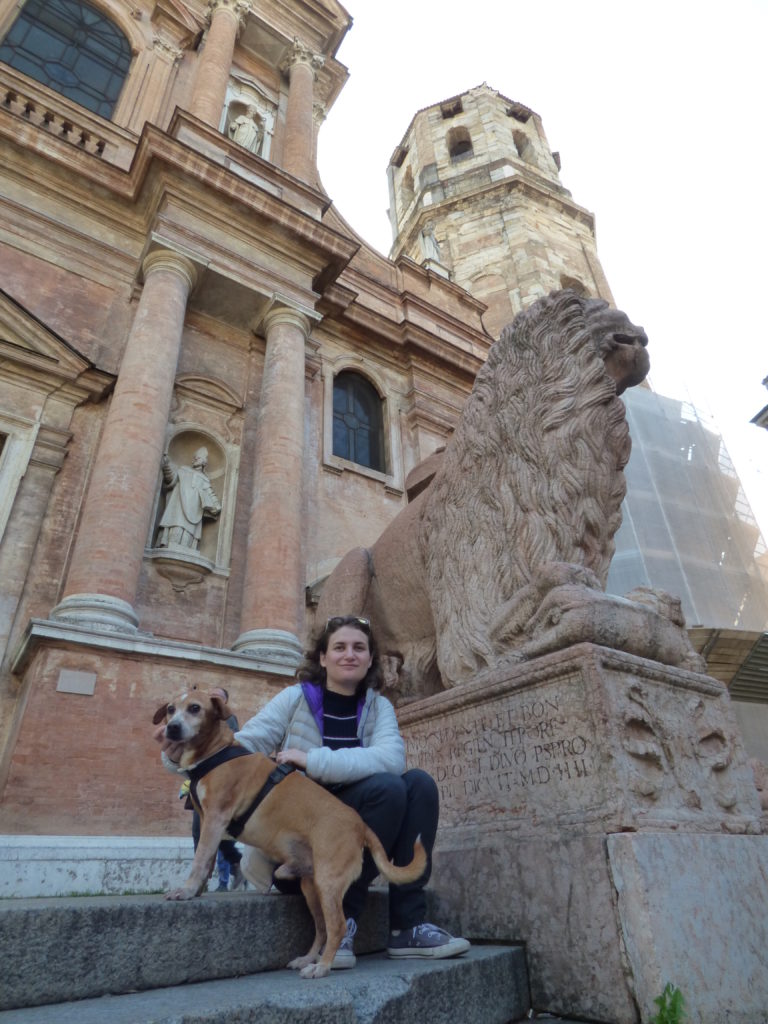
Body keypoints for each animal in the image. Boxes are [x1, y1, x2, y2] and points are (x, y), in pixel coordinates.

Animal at [150, 688, 428, 974]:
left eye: (195, 708)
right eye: (171, 709)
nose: (172, 728)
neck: (215, 753)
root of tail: (360, 824)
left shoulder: (216, 817)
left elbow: (199, 860)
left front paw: (186, 891)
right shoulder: (207, 820)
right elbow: (206, 861)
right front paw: (197, 890)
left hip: (328, 880)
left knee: (337, 926)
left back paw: (322, 967)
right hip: (312, 886)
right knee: (322, 928)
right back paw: (308, 958)